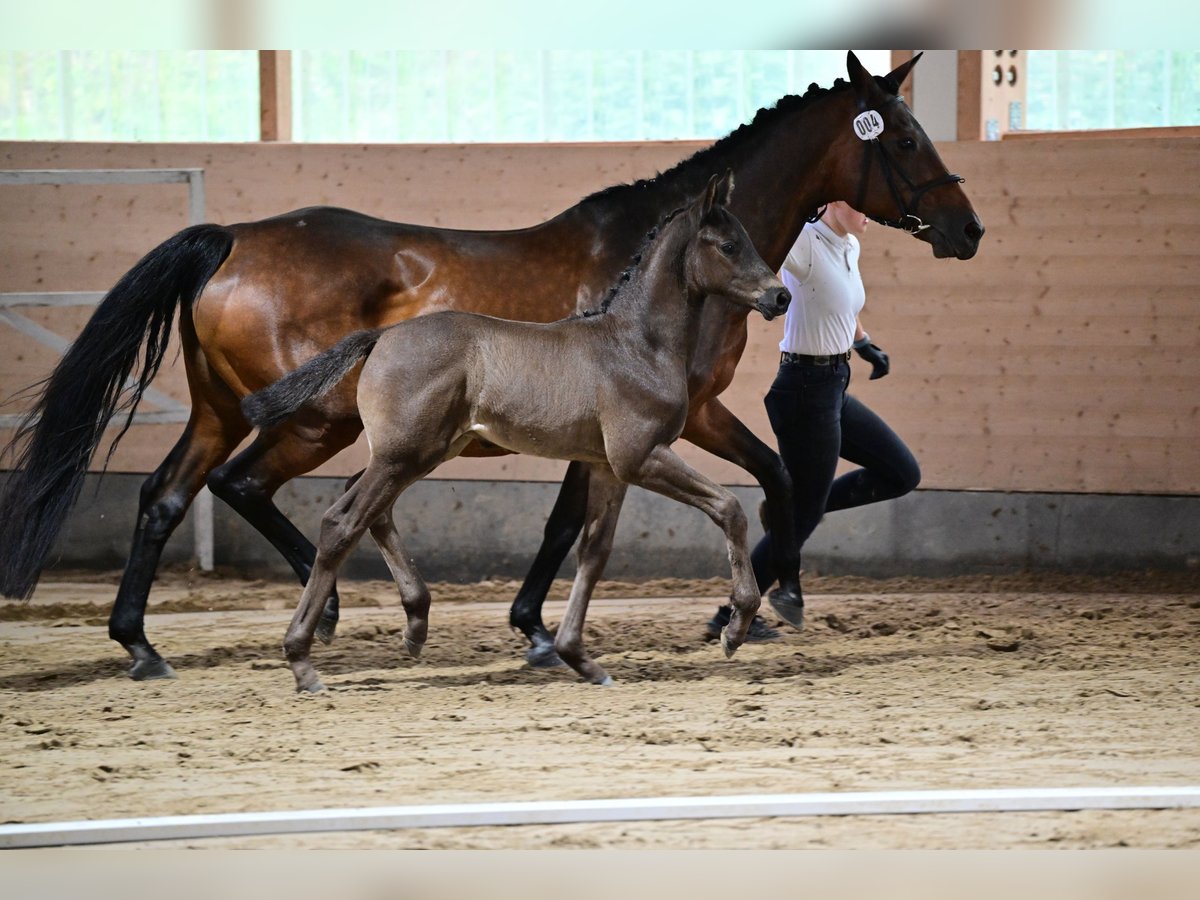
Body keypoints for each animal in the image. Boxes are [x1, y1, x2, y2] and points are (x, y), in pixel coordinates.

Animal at [243, 174, 787, 691]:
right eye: (729, 245)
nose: (779, 296)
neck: (637, 344)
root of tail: (382, 336)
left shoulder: (607, 467)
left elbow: (594, 552)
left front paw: (580, 659)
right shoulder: (642, 455)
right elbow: (729, 507)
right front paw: (736, 626)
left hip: (423, 452)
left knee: (371, 510)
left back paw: (415, 625)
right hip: (406, 454)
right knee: (342, 522)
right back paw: (303, 660)